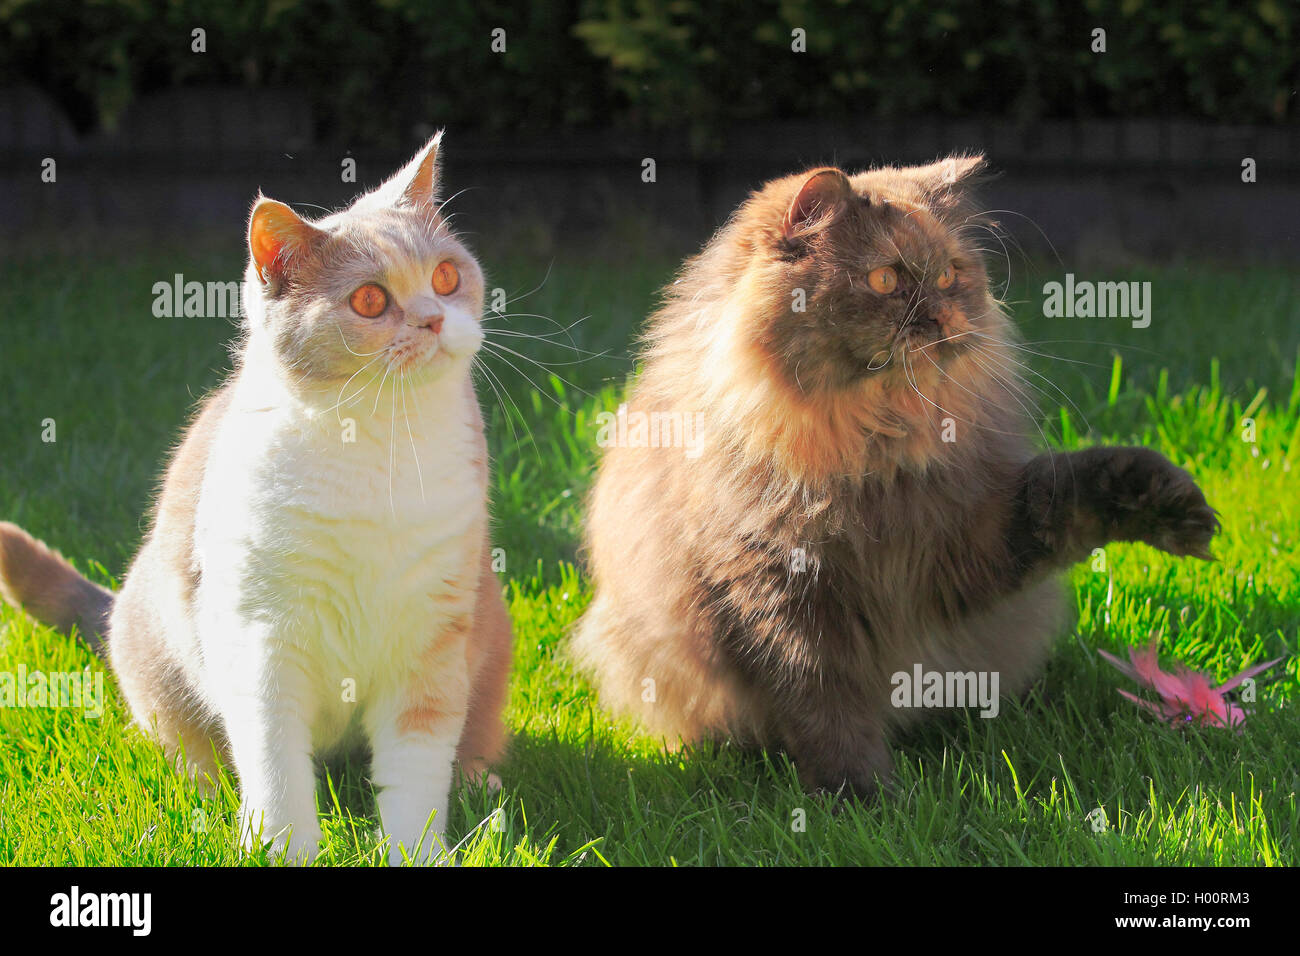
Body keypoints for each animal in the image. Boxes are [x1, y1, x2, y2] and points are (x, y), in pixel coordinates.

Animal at [0, 130, 512, 863]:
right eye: (369, 301)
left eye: (446, 277)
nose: (434, 320)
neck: (377, 445)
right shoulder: (261, 635)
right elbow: (273, 763)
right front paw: (282, 849)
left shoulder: (432, 636)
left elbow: (416, 769)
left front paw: (414, 852)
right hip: (158, 655)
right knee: (192, 749)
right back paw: (205, 797)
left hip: (491, 634)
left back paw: (480, 786)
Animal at [572, 155, 1216, 790]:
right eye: (885, 280)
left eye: (951, 274)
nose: (942, 314)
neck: (873, 446)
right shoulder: (781, 595)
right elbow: (827, 709)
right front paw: (862, 796)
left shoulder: (966, 540)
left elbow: (1072, 496)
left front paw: (1174, 508)